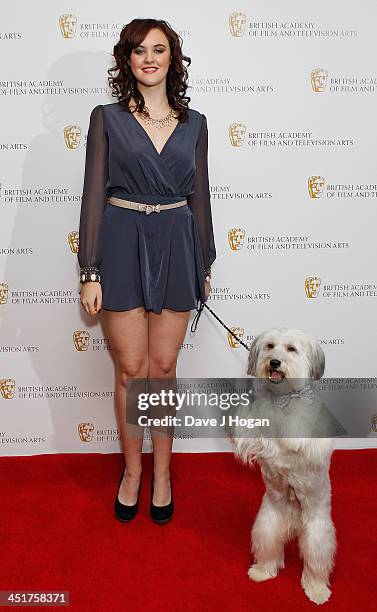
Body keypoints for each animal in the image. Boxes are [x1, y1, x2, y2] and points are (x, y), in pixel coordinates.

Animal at [228, 328, 336, 604]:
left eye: (291, 349)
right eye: (270, 346)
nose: (275, 362)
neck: (281, 398)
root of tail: (295, 520)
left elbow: (295, 432)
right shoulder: (254, 430)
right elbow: (250, 430)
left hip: (317, 533)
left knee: (315, 564)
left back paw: (317, 590)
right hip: (267, 523)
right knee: (270, 552)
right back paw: (262, 571)